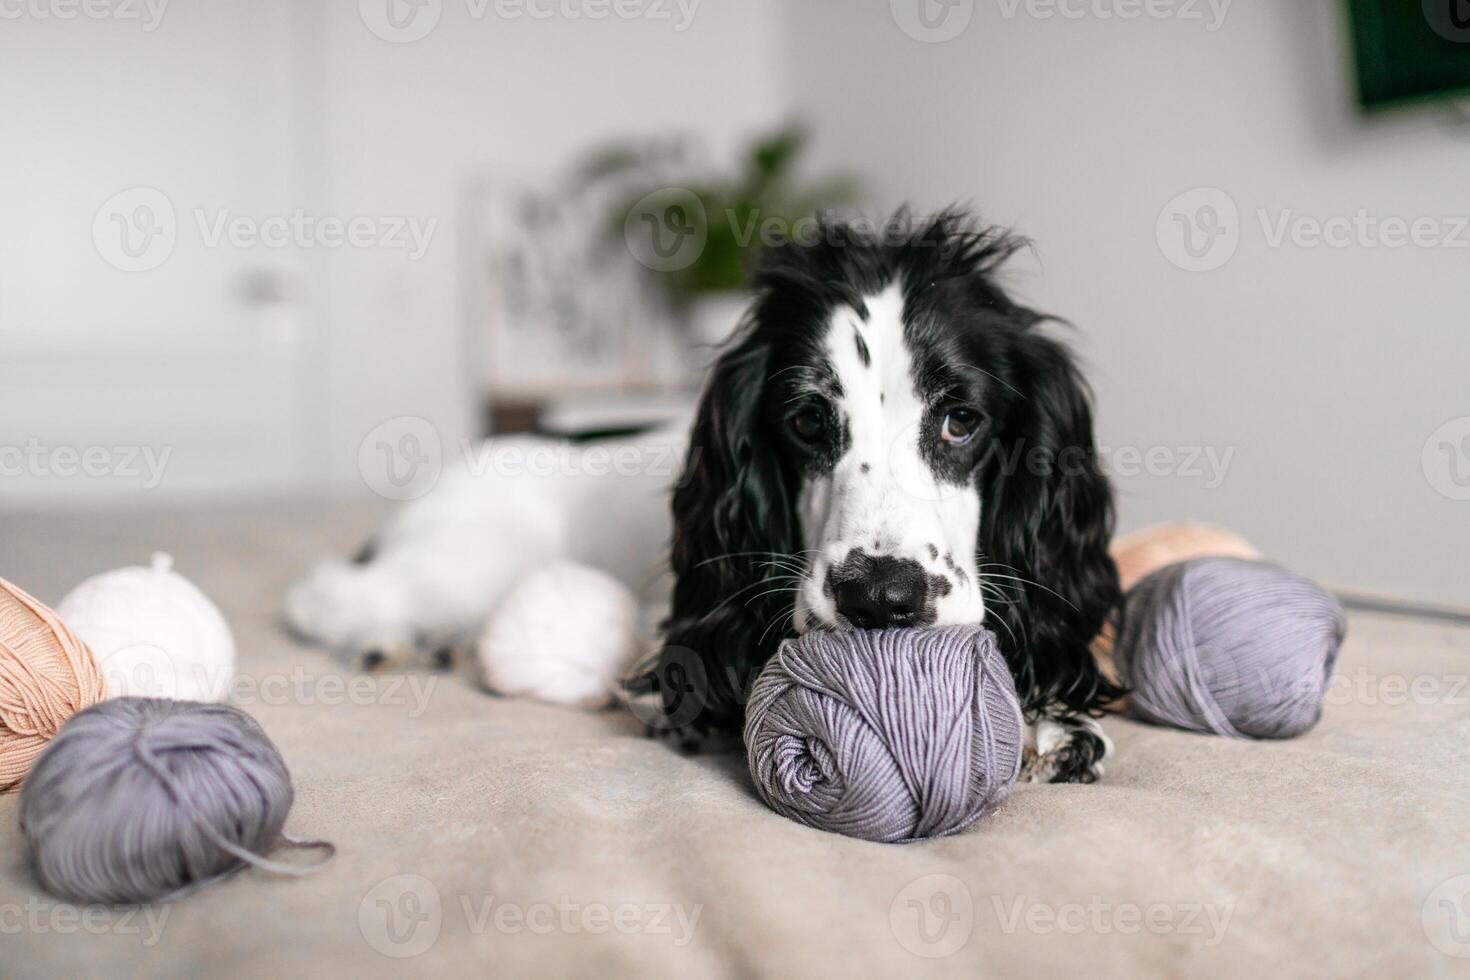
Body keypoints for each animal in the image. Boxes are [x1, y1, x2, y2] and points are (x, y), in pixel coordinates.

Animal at [295, 211, 1123, 787]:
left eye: (961, 419)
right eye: (807, 420)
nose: (881, 599)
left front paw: (1054, 730)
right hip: (462, 565)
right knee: (330, 596)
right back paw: (386, 640)